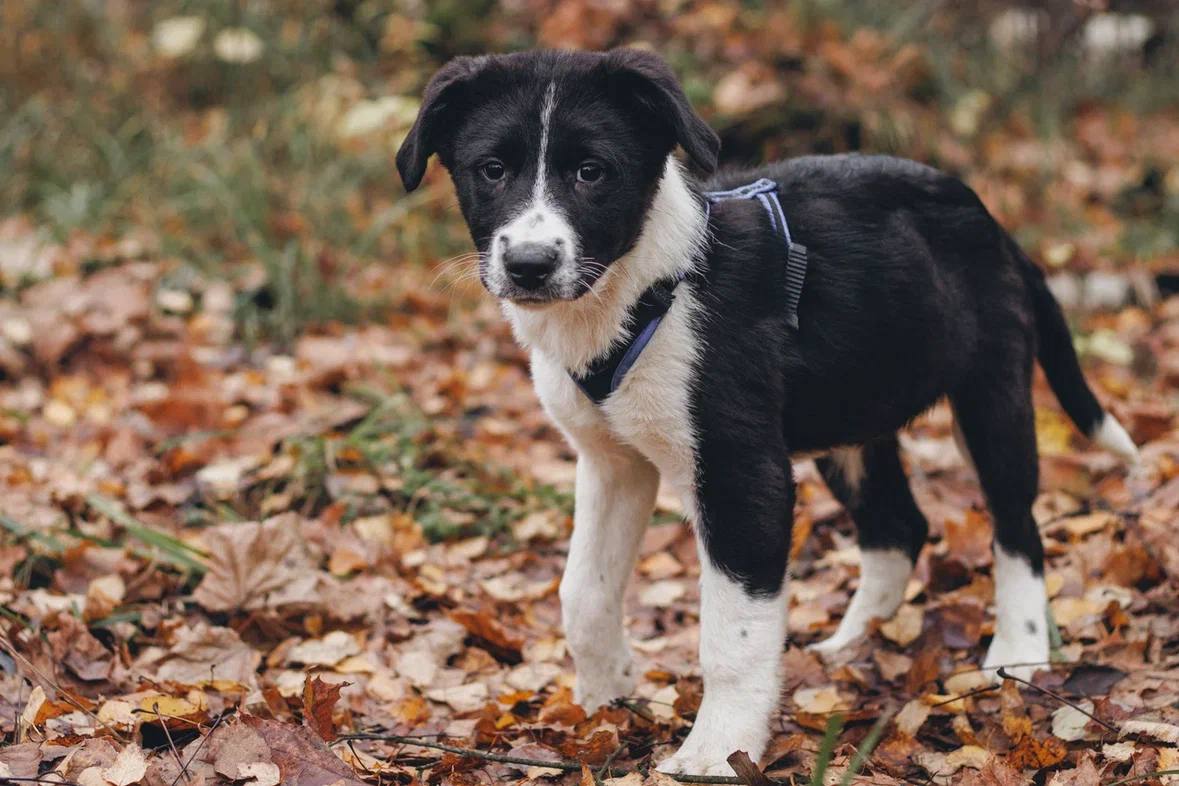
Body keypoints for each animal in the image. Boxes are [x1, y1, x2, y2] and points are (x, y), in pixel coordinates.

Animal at [396, 48, 1139, 775]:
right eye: (492, 169)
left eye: (591, 171)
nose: (528, 264)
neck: (640, 288)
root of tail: (996, 227)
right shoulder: (612, 462)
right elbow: (582, 593)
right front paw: (605, 703)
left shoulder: (740, 471)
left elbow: (733, 632)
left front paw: (716, 750)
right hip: (852, 417)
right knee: (898, 526)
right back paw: (849, 649)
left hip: (989, 397)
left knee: (1016, 528)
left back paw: (1016, 656)